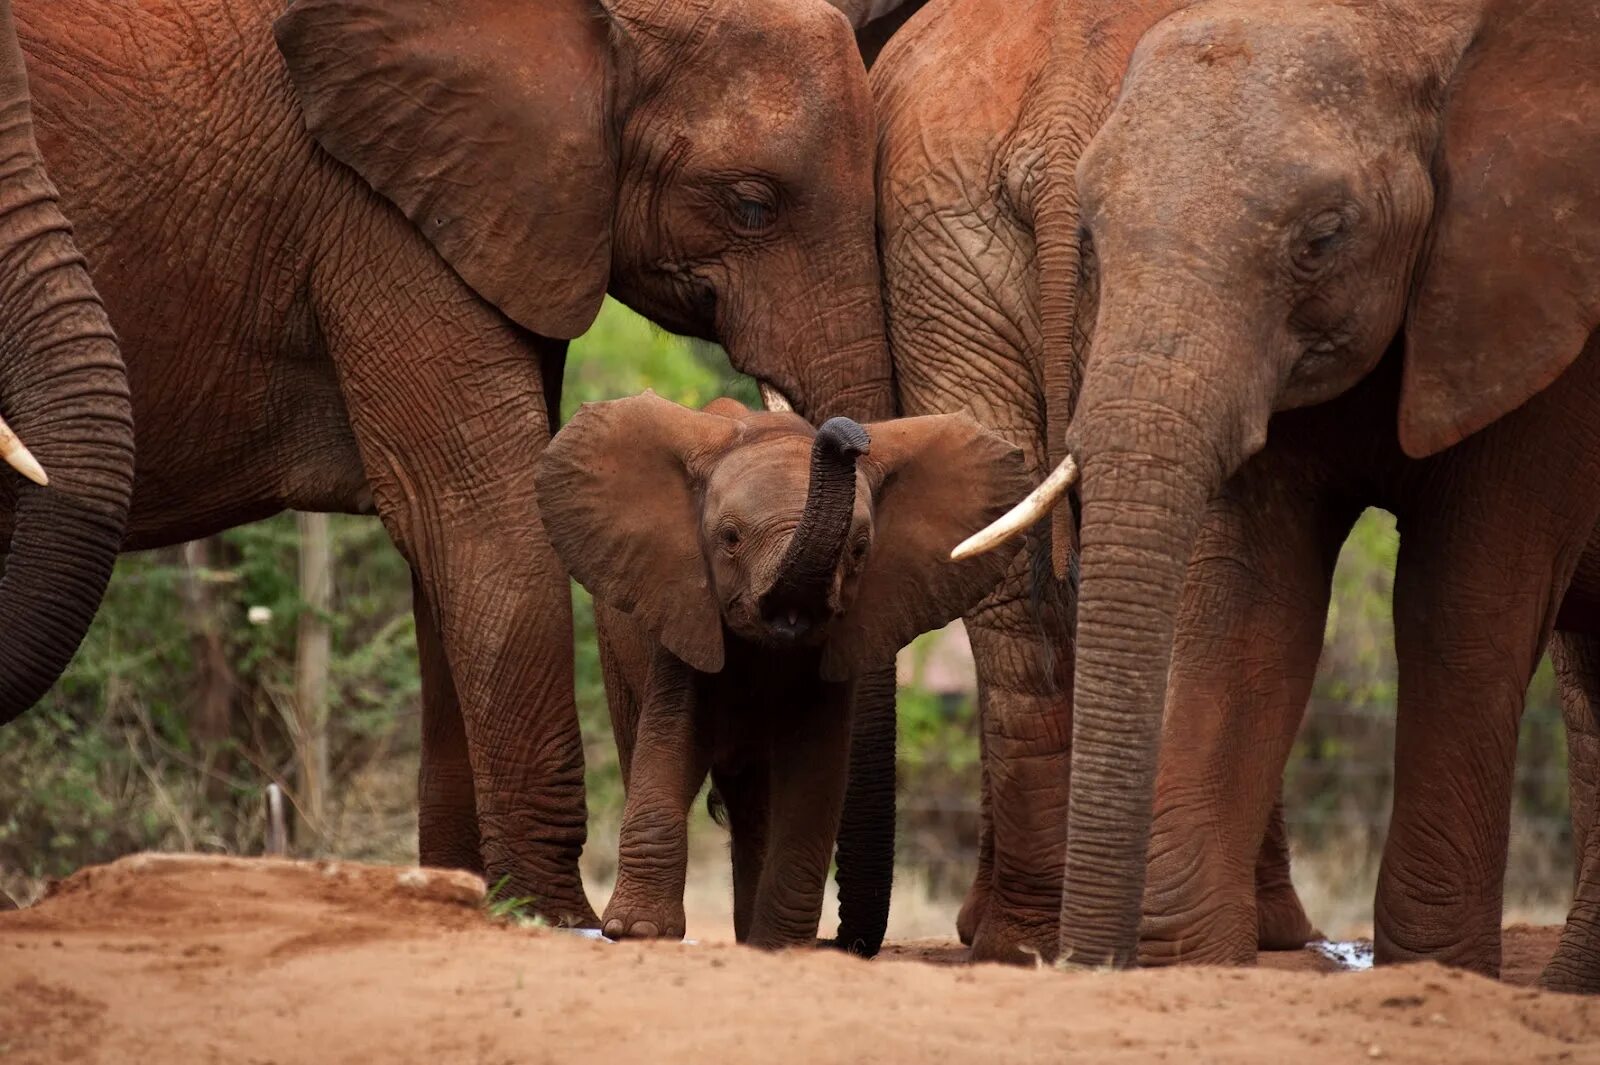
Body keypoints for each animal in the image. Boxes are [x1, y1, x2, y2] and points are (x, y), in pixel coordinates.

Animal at [9, 0, 915, 927]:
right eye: (752, 206)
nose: (843, 434)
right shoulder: (371, 209)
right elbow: (487, 520)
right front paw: (555, 921)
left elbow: (448, 557)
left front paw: (463, 894)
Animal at [531, 390, 1017, 946]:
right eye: (730, 538)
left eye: (859, 550)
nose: (851, 436)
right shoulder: (684, 610)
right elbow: (673, 740)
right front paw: (637, 932)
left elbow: (813, 772)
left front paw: (780, 946)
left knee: (754, 803)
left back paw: (751, 939)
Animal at [953, 0, 1600, 972]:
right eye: (1091, 235)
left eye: (1324, 237)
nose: (1075, 961)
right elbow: (1253, 602)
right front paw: (1194, 957)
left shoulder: (1544, 326)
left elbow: (1462, 603)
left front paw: (1437, 969)